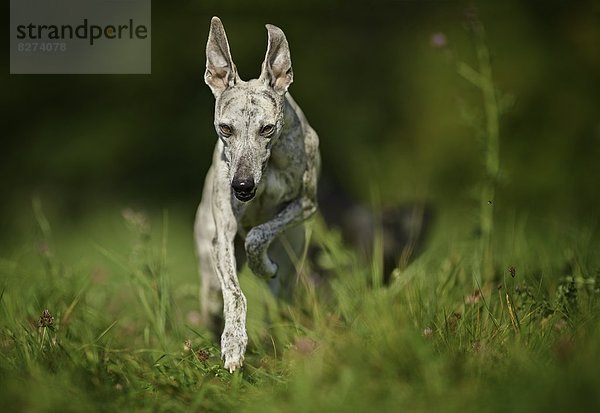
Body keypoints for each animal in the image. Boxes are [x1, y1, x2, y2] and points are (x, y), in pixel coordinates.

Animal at [195, 16, 322, 372]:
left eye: (267, 129)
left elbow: (258, 235)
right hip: (209, 276)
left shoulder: (306, 204)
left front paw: (263, 266)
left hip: (291, 266)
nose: (242, 186)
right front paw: (233, 343)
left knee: (282, 299)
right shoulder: (223, 235)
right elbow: (235, 293)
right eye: (225, 128)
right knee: (214, 302)